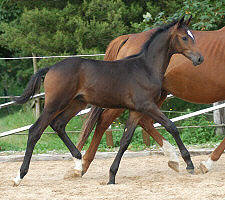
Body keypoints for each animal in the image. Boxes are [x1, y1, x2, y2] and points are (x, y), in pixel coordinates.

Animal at [12, 16, 203, 186]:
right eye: (184, 37)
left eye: (193, 36)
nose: (200, 58)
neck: (145, 68)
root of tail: (51, 67)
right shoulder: (147, 105)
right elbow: (172, 127)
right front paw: (189, 164)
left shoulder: (136, 110)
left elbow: (125, 140)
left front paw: (111, 176)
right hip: (55, 104)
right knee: (35, 131)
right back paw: (19, 176)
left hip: (76, 103)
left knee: (58, 125)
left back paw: (78, 163)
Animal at [77, 25, 223, 174]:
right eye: (184, 38)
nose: (200, 58)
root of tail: (128, 37)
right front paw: (206, 163)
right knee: (104, 120)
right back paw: (83, 164)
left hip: (153, 98)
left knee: (143, 121)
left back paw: (173, 159)